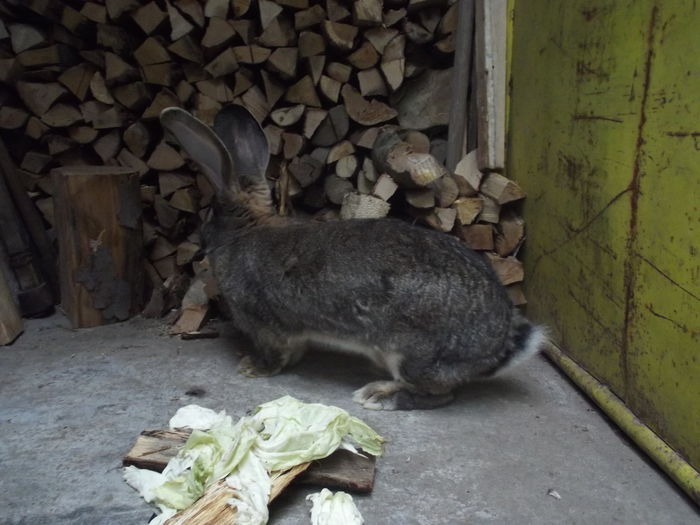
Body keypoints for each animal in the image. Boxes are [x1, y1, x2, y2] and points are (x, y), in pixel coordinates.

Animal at [159, 105, 548, 410]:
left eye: (209, 215)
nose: (199, 237)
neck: (246, 230)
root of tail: (496, 346)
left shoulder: (266, 326)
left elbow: (277, 356)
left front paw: (253, 368)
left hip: (412, 354)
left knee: (438, 395)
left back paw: (380, 396)